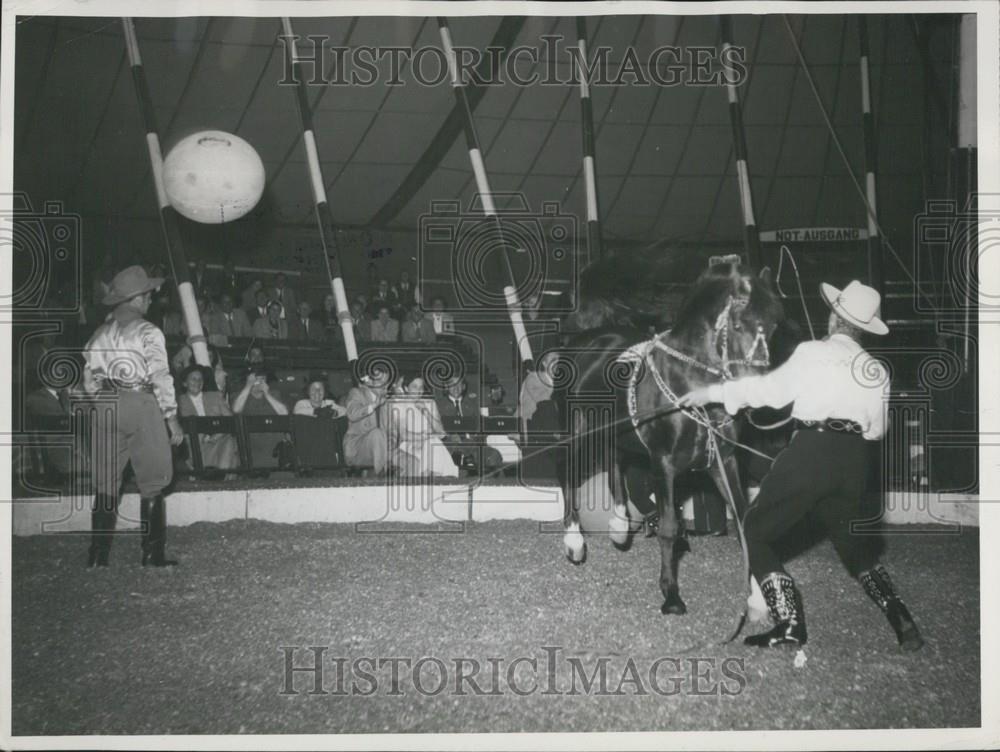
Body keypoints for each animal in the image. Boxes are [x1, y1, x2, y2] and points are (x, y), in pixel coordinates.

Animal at [552, 262, 784, 612]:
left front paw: (760, 598)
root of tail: (587, 338)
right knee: (567, 470)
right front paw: (671, 595)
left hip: (615, 430)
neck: (690, 385)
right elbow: (669, 528)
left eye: (773, 325)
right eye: (738, 324)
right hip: (578, 430)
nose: (756, 393)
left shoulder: (723, 461)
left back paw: (619, 528)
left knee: (613, 462)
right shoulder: (663, 464)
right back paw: (574, 541)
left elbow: (745, 522)